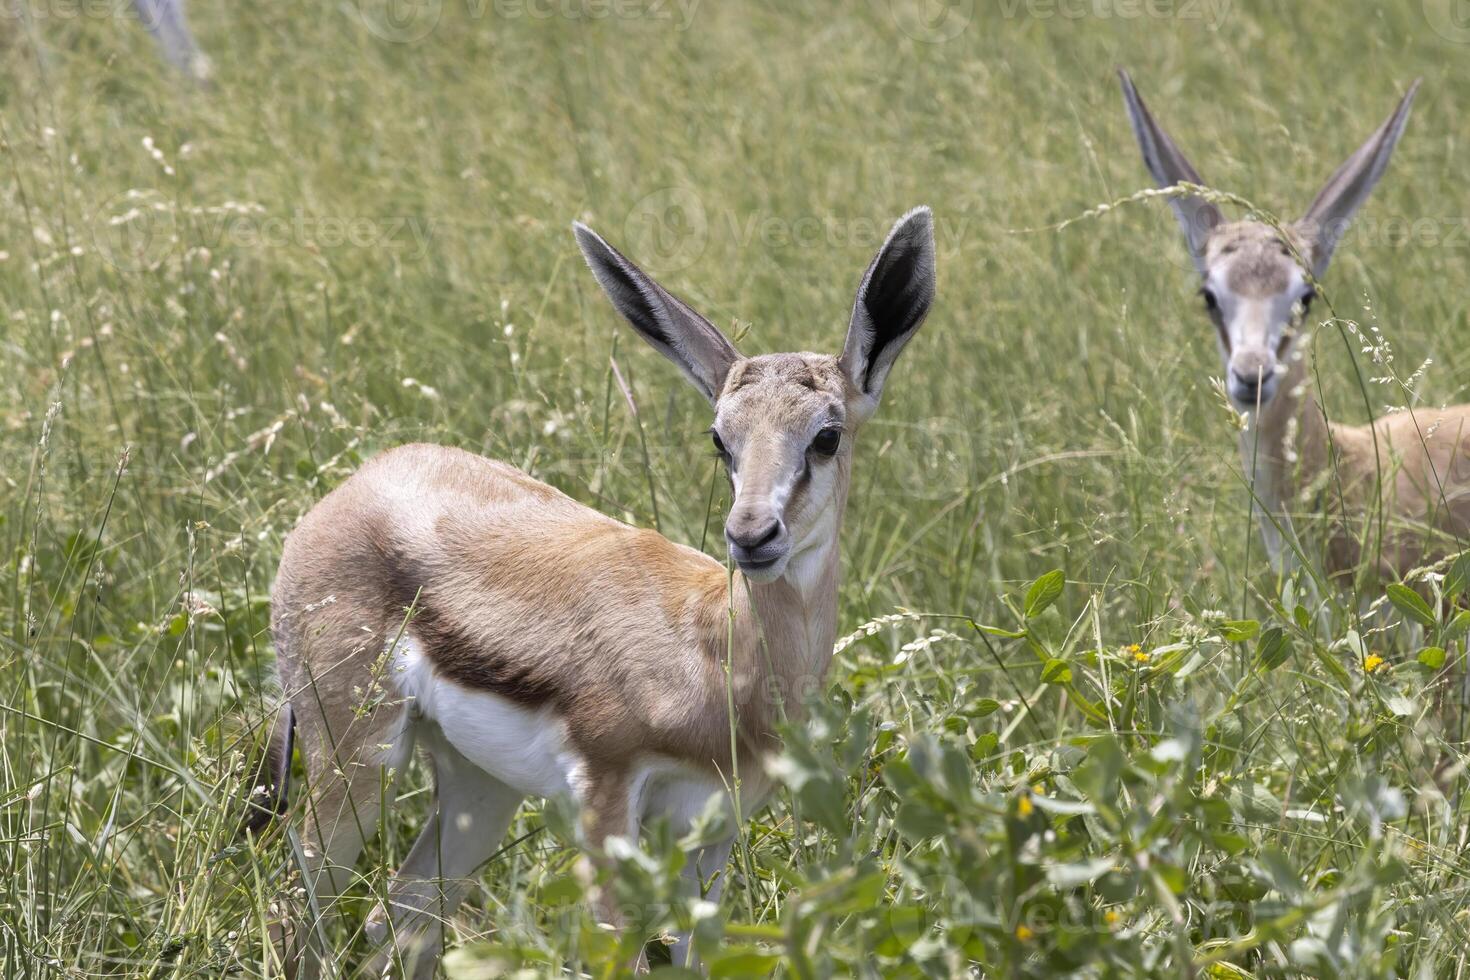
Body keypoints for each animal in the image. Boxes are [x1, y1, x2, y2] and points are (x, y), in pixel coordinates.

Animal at [244, 207, 929, 975]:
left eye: (827, 436)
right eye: (720, 439)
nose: (752, 535)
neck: (716, 653)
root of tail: (357, 482)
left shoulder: (713, 833)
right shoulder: (607, 807)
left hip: (480, 788)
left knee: (403, 914)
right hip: (356, 764)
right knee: (295, 909)